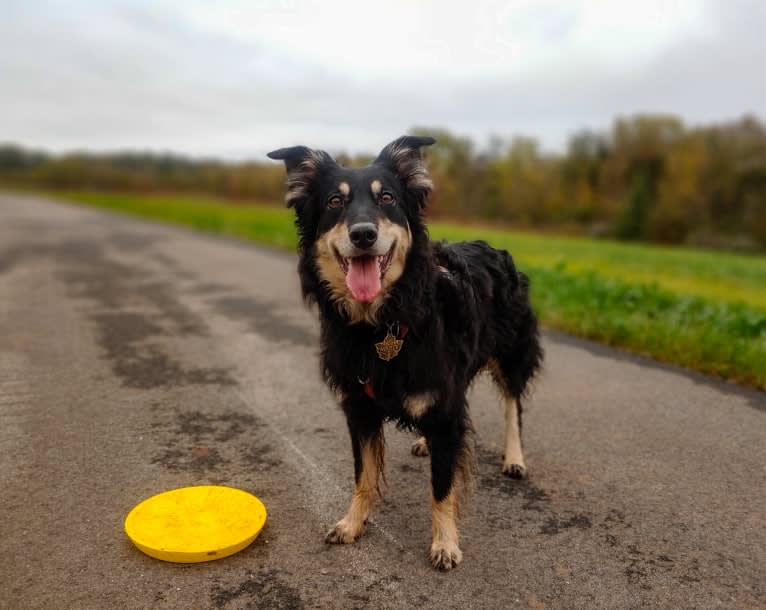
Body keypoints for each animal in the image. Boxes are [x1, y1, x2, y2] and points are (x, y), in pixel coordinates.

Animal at [270, 135, 544, 568]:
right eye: (334, 201)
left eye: (387, 198)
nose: (363, 234)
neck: (382, 322)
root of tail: (496, 248)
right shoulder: (360, 409)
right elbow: (363, 474)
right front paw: (353, 523)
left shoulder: (445, 410)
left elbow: (442, 485)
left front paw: (445, 543)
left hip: (512, 352)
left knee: (512, 405)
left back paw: (514, 458)